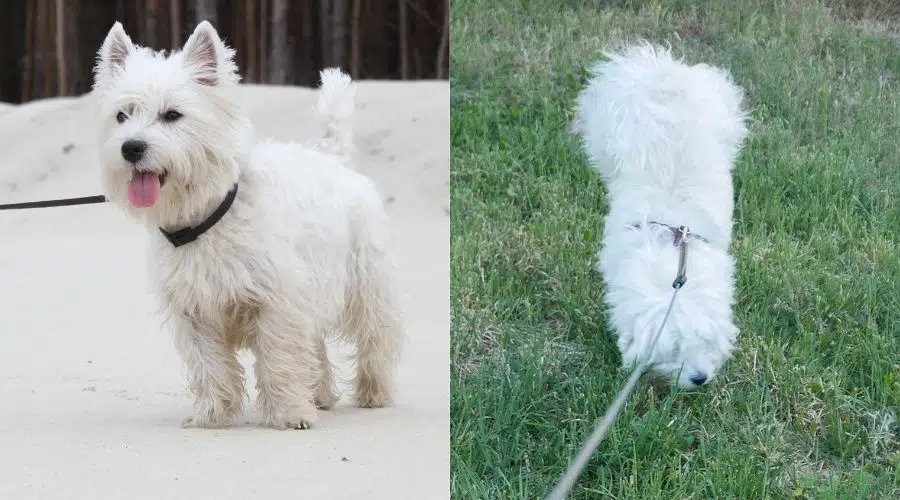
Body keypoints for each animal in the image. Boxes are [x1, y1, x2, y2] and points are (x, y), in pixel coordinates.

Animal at [91, 21, 400, 430]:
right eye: (122, 115)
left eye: (172, 115)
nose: (131, 148)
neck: (205, 219)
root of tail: (333, 158)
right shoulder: (194, 310)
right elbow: (210, 366)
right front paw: (212, 415)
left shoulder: (277, 302)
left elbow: (280, 358)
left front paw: (289, 414)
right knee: (317, 344)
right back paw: (319, 395)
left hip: (367, 283)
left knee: (375, 338)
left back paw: (373, 393)